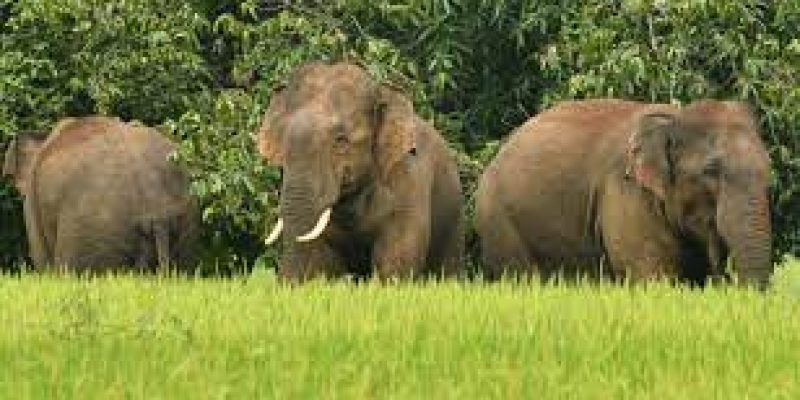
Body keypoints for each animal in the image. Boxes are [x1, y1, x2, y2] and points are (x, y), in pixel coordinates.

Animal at [475, 99, 773, 288]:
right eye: (710, 171)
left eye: (769, 169)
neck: (672, 120)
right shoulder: (624, 192)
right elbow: (651, 277)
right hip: (500, 223)